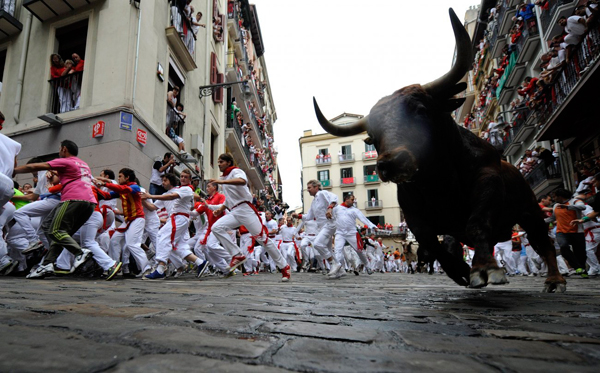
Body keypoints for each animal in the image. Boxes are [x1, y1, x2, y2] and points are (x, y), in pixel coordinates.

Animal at [314, 8, 568, 292]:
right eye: (372, 136)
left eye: (421, 110)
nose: (391, 163)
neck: (438, 180)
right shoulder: (413, 212)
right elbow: (432, 243)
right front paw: (460, 270)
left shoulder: (488, 181)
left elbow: (477, 222)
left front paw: (485, 268)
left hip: (530, 210)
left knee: (543, 242)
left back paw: (554, 280)